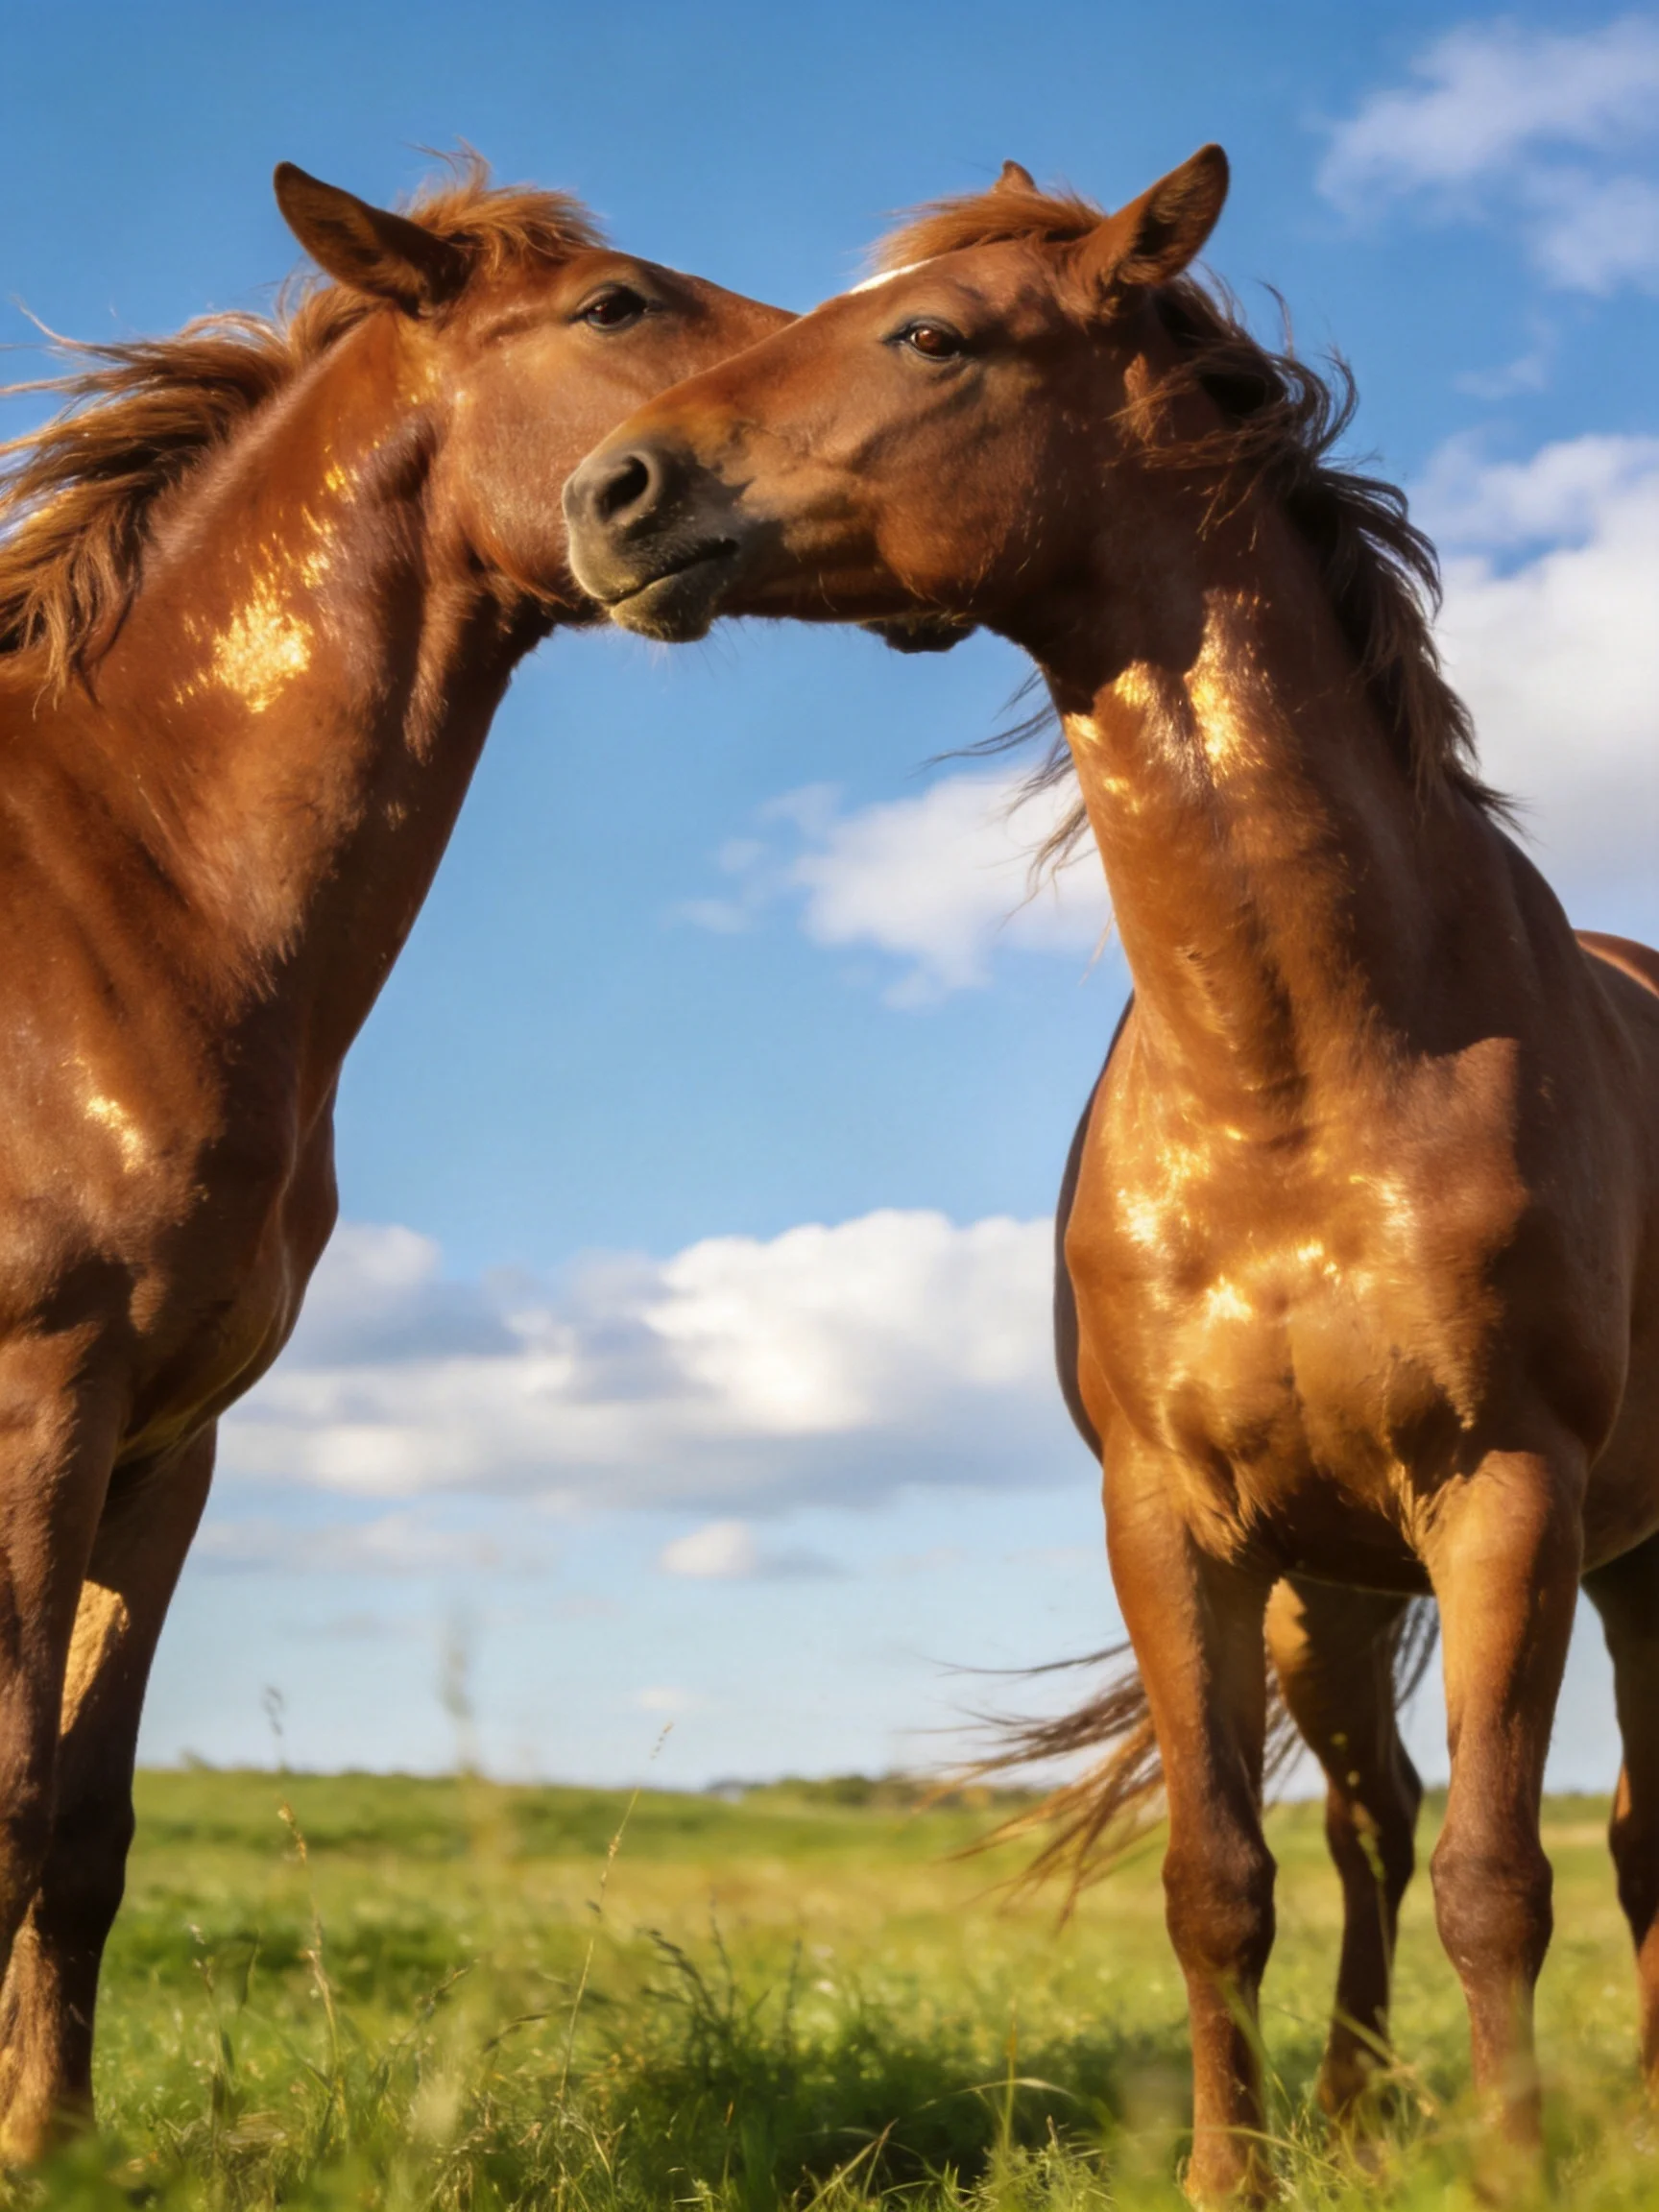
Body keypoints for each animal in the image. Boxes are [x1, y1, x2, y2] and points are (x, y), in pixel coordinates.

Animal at [0, 156, 786, 2153]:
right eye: (616, 304)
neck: (121, 885)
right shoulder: (38, 1403)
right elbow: (11, 1791)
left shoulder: (160, 1441)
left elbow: (80, 1825)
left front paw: (54, 2146)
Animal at [561, 148, 1659, 2199]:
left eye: (930, 335)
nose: (607, 494)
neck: (1303, 1079)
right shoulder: (1179, 1523)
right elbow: (1221, 1878)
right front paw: (1238, 2168)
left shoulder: (1508, 1499)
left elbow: (1499, 1877)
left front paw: (1515, 2163)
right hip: (1336, 1587)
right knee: (1375, 1817)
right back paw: (1345, 2105)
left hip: (1619, 1553)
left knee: (1602, 1830)